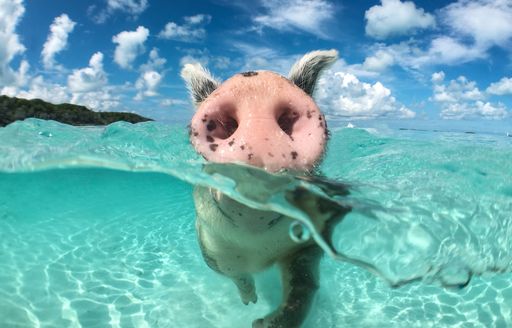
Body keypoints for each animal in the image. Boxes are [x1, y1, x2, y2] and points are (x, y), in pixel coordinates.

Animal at [181, 50, 348, 326]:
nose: (257, 84)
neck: (258, 248)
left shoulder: (307, 243)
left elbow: (303, 286)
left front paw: (261, 322)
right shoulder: (210, 247)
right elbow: (237, 276)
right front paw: (251, 304)